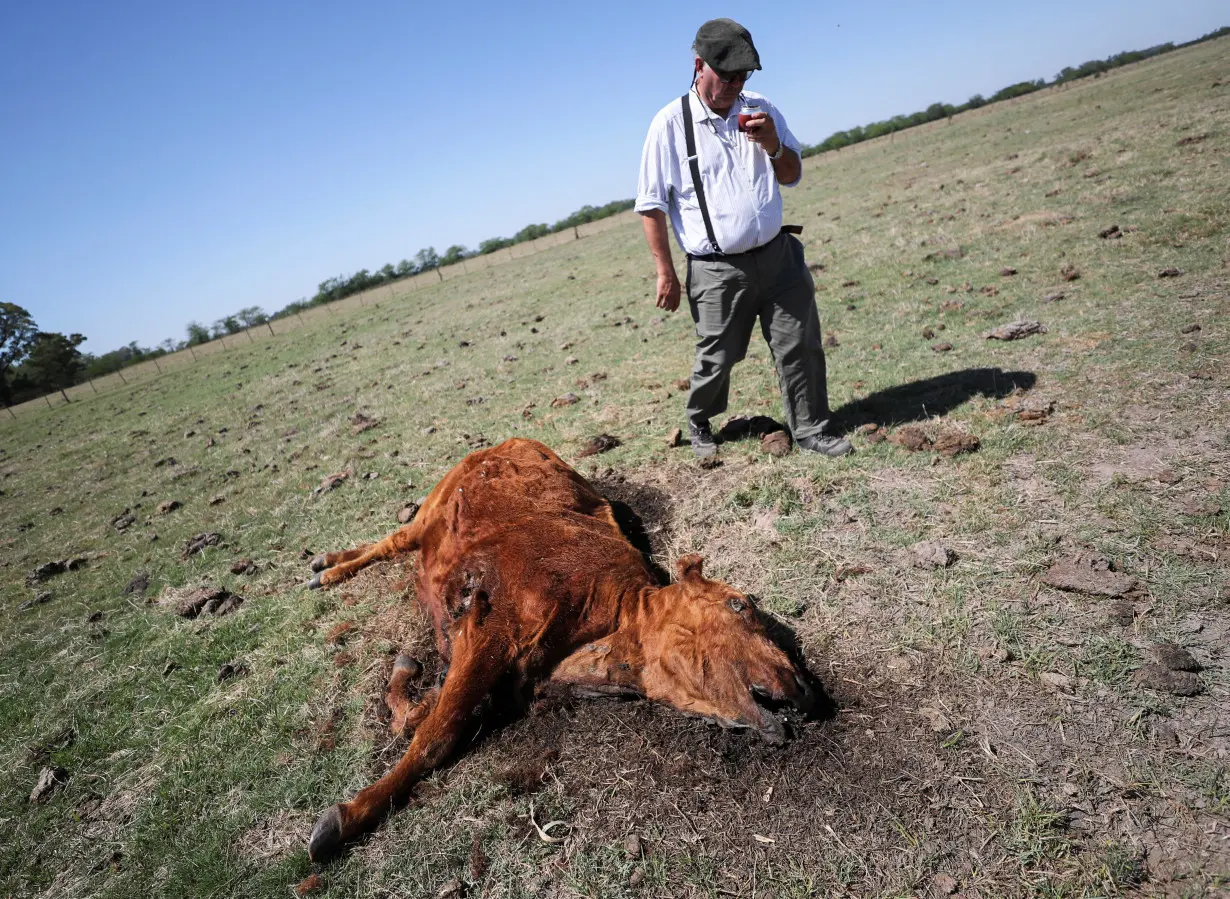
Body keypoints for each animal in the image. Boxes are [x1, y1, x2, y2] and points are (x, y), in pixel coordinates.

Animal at [306, 440, 821, 860]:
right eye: (740, 604)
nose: (804, 687)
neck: (610, 619)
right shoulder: (491, 626)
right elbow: (437, 734)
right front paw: (345, 819)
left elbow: (426, 714)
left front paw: (405, 678)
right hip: (433, 506)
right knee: (391, 540)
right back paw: (328, 568)